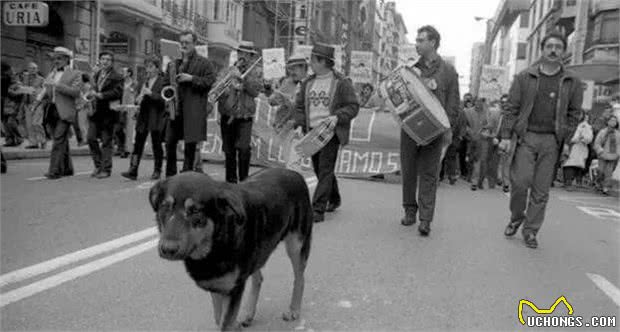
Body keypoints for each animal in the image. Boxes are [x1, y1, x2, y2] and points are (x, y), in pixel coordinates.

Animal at [150, 170, 312, 330]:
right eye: (165, 207)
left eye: (195, 211)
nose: (168, 249)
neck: (215, 243)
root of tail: (294, 173)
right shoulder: (216, 285)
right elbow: (218, 318)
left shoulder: (233, 290)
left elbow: (225, 323)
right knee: (258, 278)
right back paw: (249, 313)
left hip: (296, 245)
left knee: (300, 278)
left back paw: (294, 310)